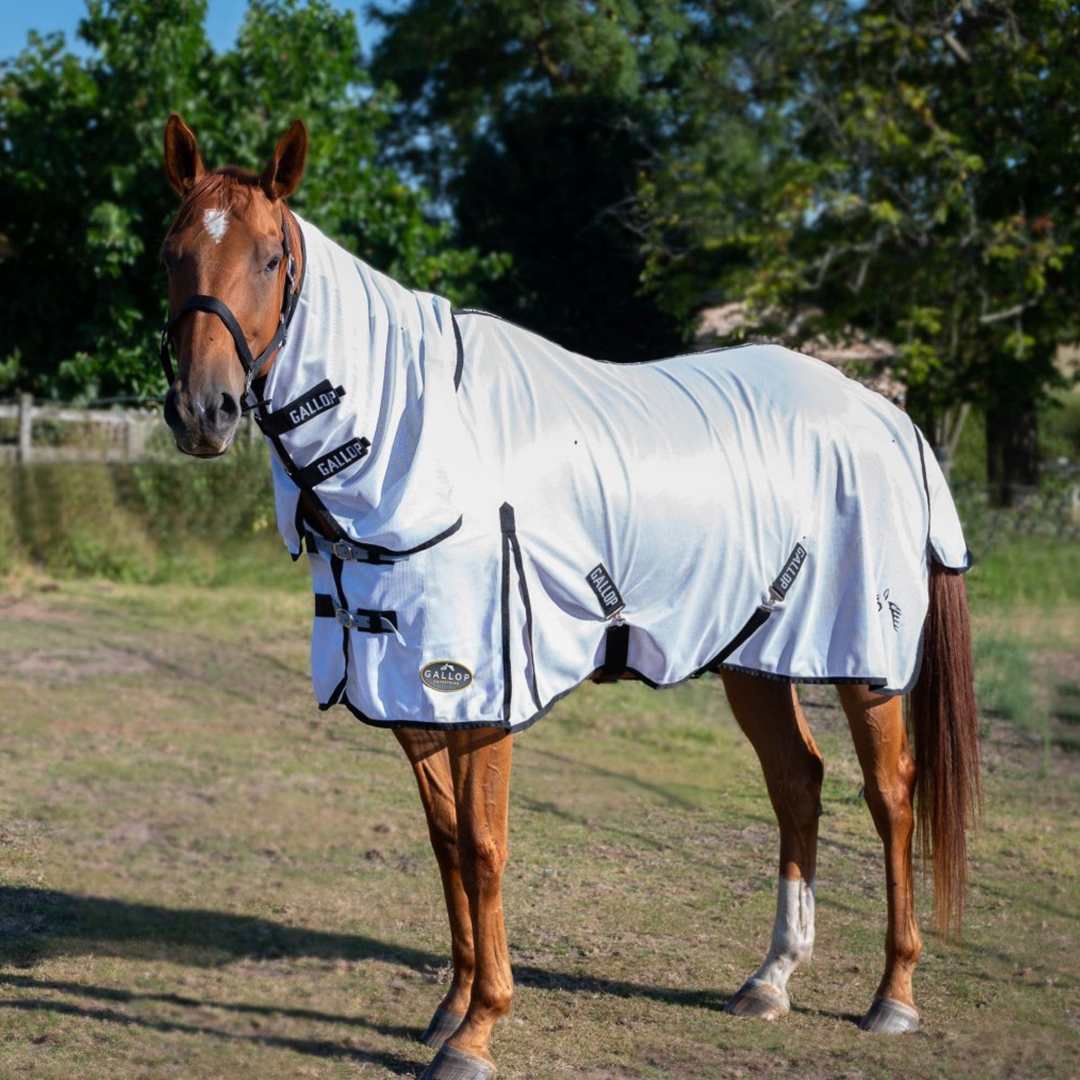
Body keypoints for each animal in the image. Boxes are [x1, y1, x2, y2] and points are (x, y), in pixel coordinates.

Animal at [158, 115, 980, 1080]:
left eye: (268, 259)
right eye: (174, 252)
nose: (203, 412)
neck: (421, 442)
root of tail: (887, 417)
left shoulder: (478, 690)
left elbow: (484, 847)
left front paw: (478, 1030)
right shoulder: (409, 691)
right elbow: (445, 843)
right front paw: (448, 1008)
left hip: (863, 660)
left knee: (891, 795)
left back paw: (894, 996)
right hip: (753, 653)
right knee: (797, 783)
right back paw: (770, 980)